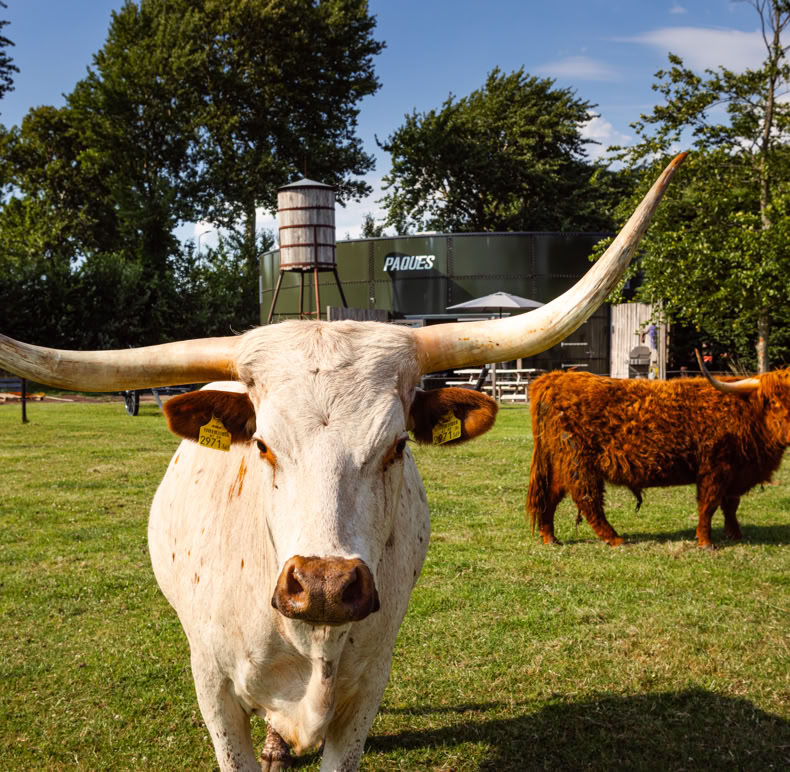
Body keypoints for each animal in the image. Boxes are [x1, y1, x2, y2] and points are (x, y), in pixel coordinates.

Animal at [527, 351, 790, 550]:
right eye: (773, 402)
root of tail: (554, 379)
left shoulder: (736, 472)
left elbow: (730, 505)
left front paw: (734, 534)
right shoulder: (715, 468)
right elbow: (709, 505)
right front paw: (706, 542)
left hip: (563, 463)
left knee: (551, 496)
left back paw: (550, 537)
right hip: (579, 463)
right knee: (587, 500)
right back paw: (615, 539)